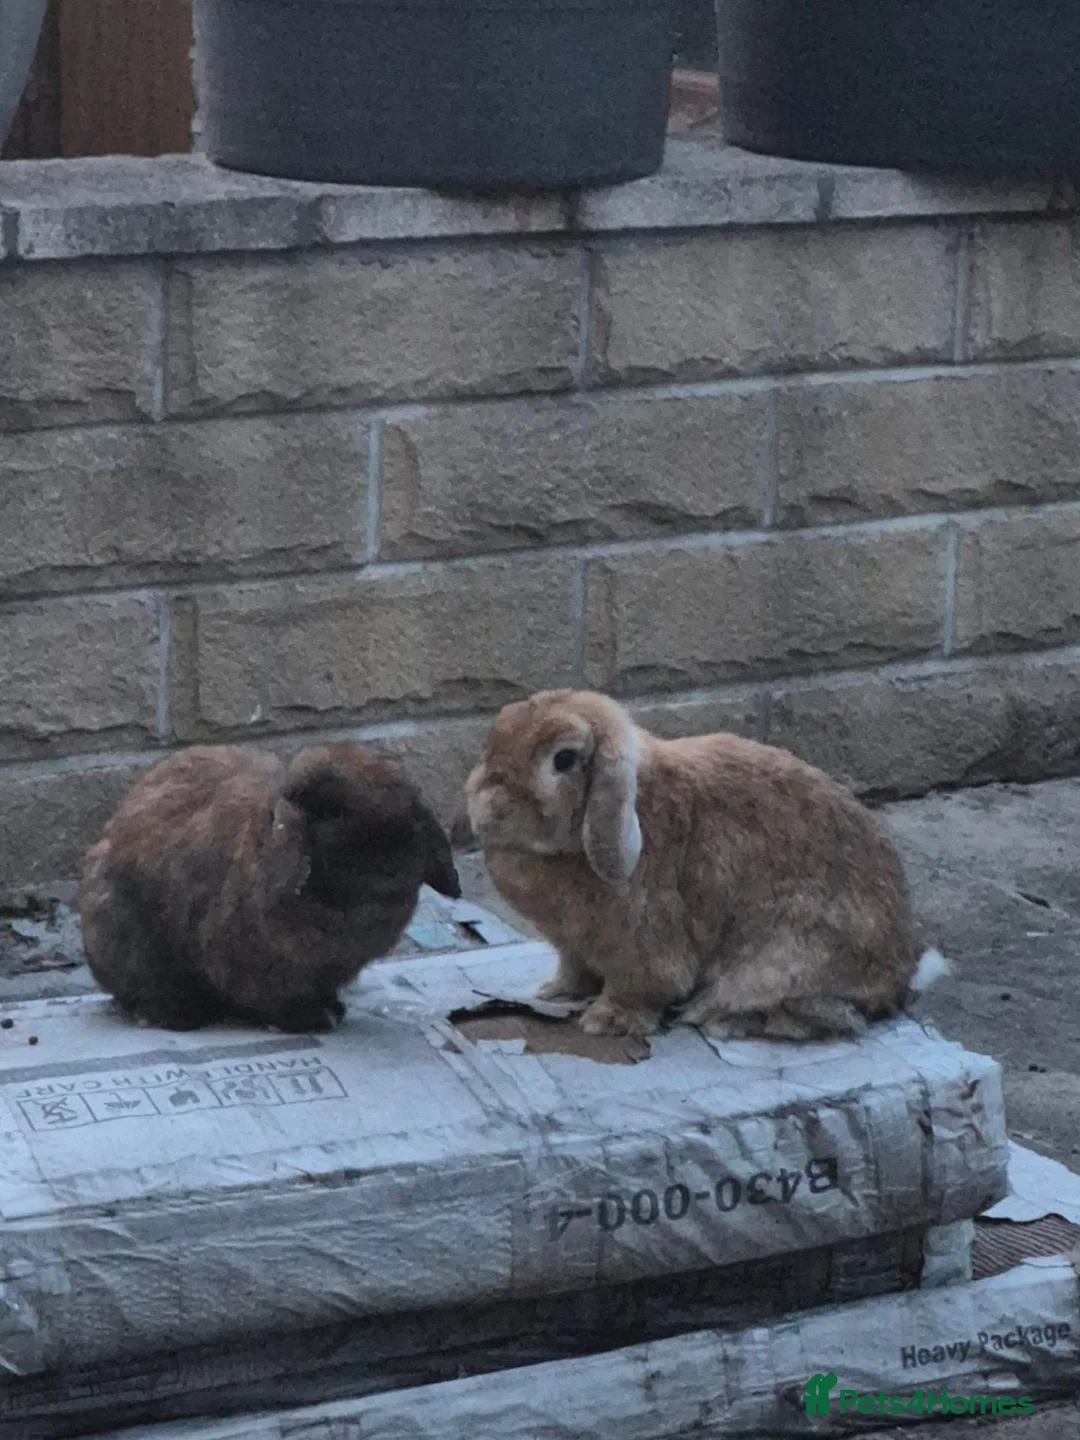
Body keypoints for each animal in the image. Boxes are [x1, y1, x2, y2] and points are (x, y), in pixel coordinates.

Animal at [78, 742, 460, 1033]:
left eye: (408, 811)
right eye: (333, 815)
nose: (394, 864)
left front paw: (331, 1009)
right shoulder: (257, 971)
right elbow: (276, 1000)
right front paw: (312, 1020)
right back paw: (175, 1015)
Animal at [464, 689, 948, 1041]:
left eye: (563, 759)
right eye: (496, 733)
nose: (483, 806)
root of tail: (900, 975)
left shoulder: (643, 946)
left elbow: (642, 985)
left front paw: (608, 1021)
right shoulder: (572, 944)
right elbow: (573, 968)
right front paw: (554, 992)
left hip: (779, 964)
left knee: (830, 1016)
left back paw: (717, 1018)